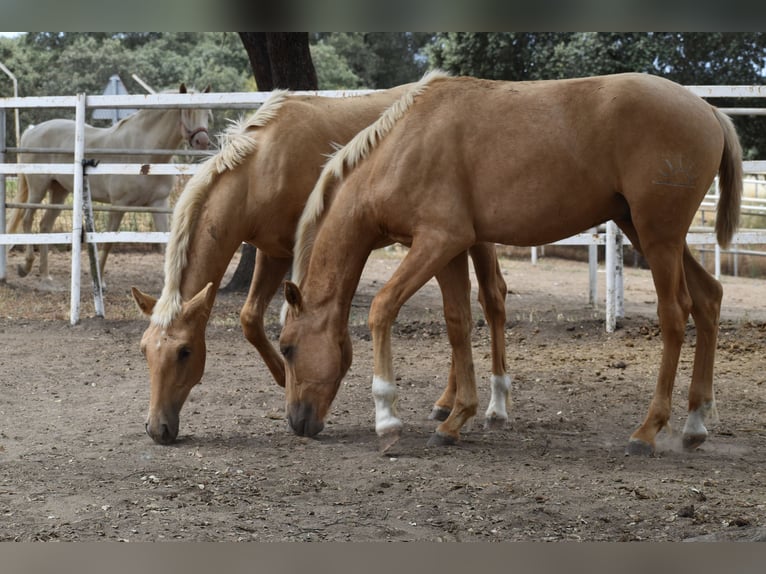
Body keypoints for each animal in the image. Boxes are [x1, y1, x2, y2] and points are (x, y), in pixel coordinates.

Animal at [7, 84, 212, 282]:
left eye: (207, 113)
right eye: (187, 110)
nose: (202, 141)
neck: (145, 156)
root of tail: (32, 130)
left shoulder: (159, 204)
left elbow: (164, 243)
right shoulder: (119, 205)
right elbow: (108, 242)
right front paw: (99, 281)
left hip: (59, 191)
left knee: (45, 225)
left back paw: (45, 275)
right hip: (38, 189)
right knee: (27, 219)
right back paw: (26, 266)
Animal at [133, 84, 512, 446]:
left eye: (184, 351)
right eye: (144, 351)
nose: (156, 429)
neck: (263, 166)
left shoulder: (298, 251)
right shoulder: (272, 252)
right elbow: (251, 318)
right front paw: (283, 376)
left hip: (472, 240)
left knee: (491, 299)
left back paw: (482, 407)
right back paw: (448, 404)